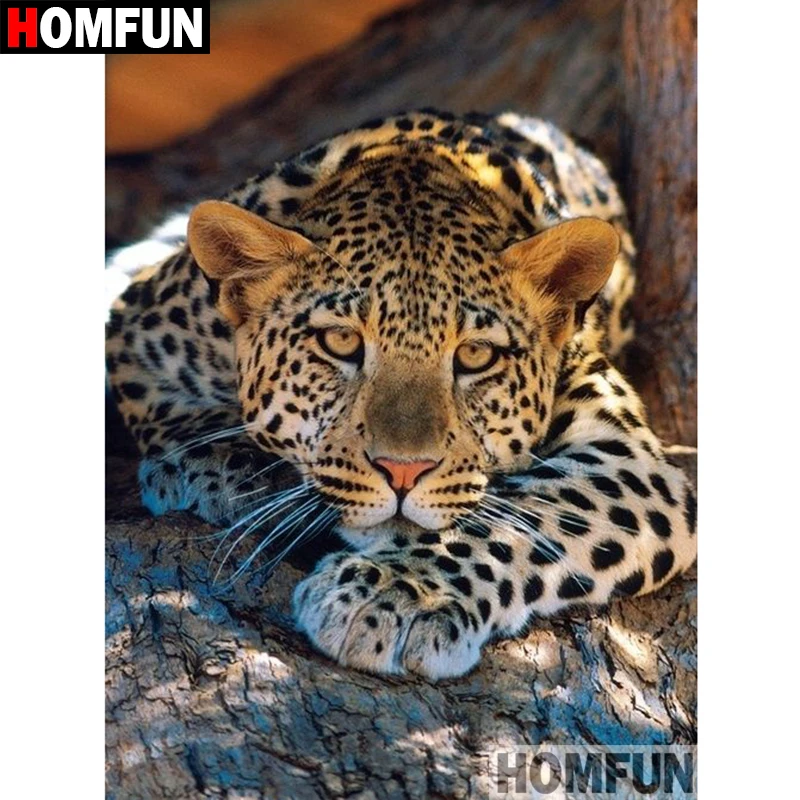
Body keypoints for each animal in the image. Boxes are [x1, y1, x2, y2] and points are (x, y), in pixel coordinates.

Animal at [106, 109, 697, 681]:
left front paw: (394, 596)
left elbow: (518, 518)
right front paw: (227, 469)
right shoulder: (138, 330)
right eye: (341, 341)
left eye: (476, 354)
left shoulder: (631, 459)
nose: (403, 472)